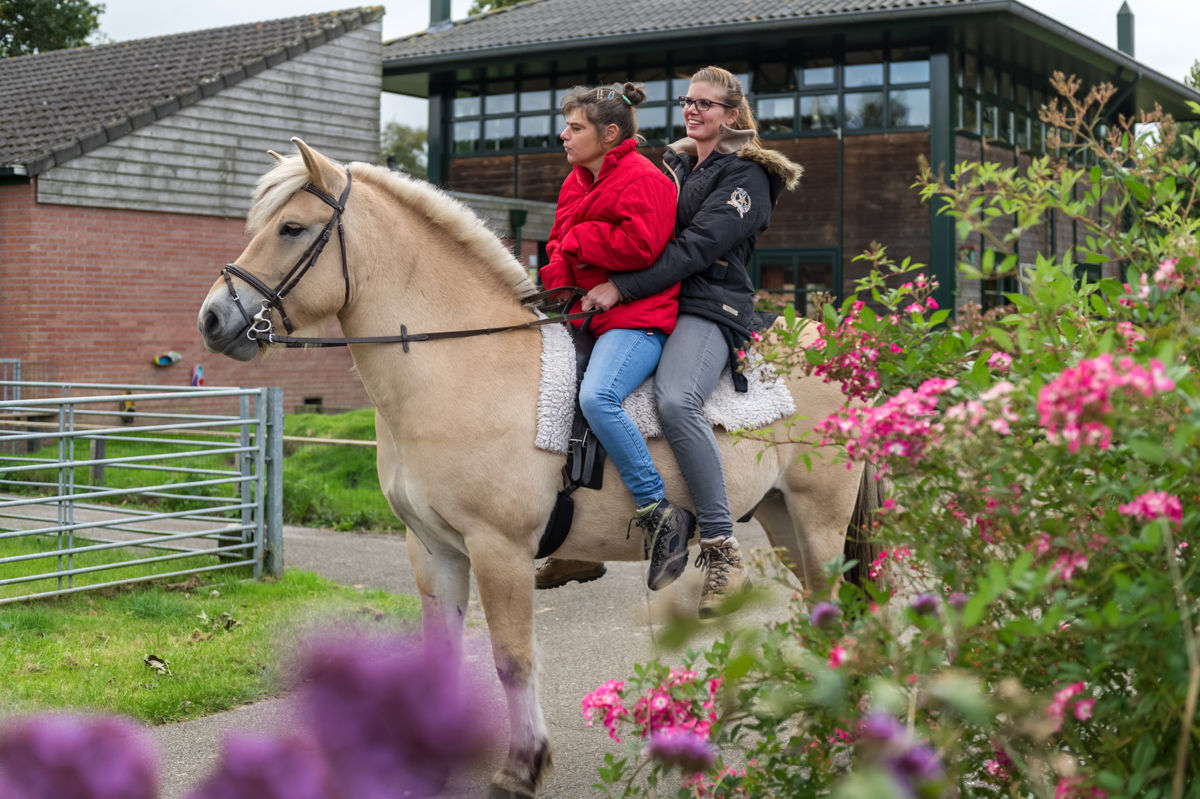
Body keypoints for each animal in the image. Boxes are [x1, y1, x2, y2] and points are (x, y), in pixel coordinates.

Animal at [198, 139, 879, 799]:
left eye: (291, 227)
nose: (213, 318)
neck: (462, 364)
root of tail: (846, 351)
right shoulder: (433, 549)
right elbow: (440, 655)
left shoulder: (498, 549)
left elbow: (512, 658)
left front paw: (521, 769)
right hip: (781, 518)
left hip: (818, 521)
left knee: (837, 616)